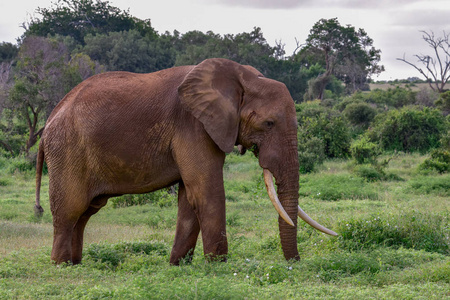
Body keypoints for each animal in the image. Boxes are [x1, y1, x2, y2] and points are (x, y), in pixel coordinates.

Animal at [35, 56, 336, 264]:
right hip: (67, 149)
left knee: (85, 213)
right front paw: (218, 266)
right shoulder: (193, 126)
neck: (241, 76)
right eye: (269, 123)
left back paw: (76, 263)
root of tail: (50, 119)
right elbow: (207, 191)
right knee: (70, 210)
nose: (294, 263)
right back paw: (61, 265)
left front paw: (178, 265)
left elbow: (189, 198)